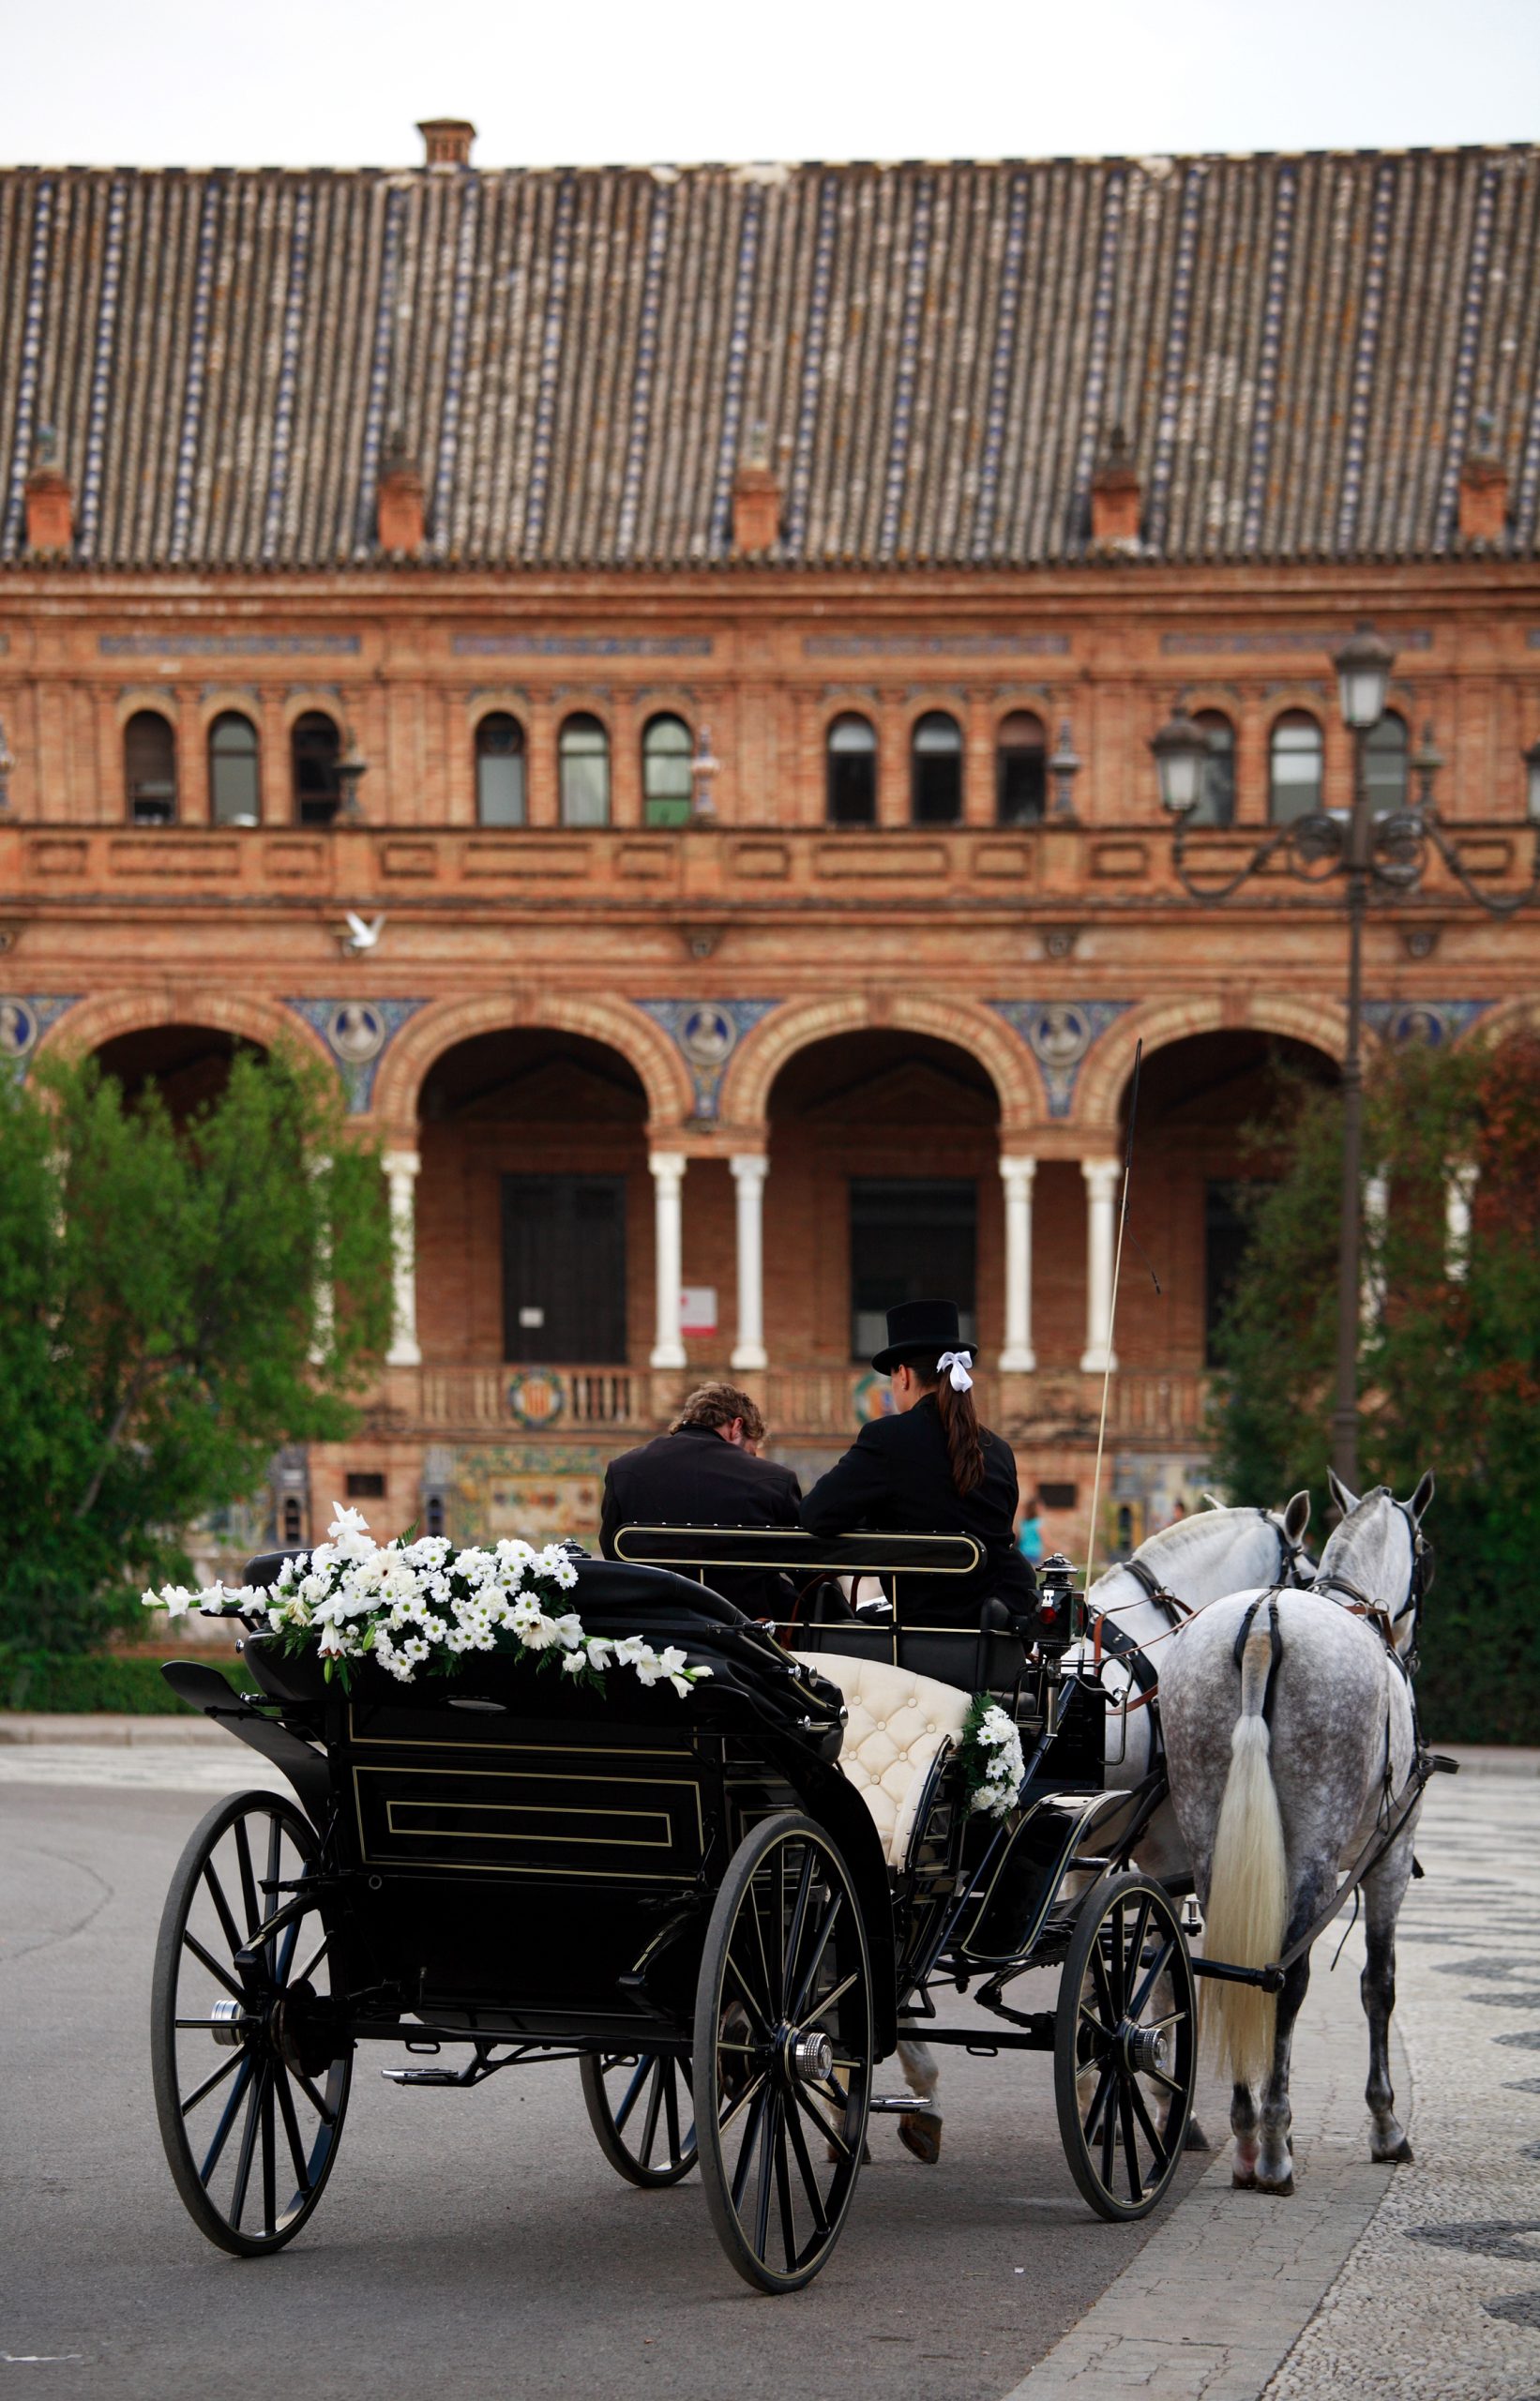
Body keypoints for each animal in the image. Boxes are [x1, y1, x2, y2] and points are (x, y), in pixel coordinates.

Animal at [1157, 1459, 1431, 2198]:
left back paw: (1243, 2132)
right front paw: (1385, 2125)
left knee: (1223, 1965)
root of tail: (1263, 1622)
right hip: (1312, 1846)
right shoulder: (1390, 1860)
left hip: (1207, 1837)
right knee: (1286, 1976)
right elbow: (1379, 1985)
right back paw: (1274, 2146)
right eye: (1427, 1550)